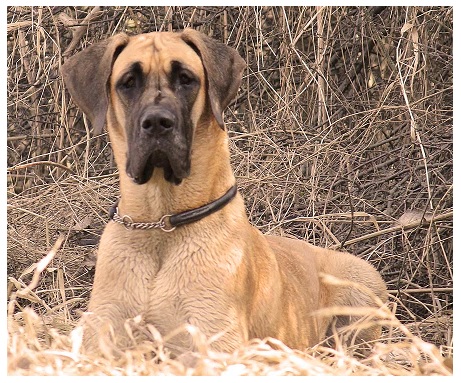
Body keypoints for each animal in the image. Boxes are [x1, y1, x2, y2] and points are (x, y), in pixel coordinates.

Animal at [61, 28, 384, 358]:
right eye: (128, 82)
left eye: (186, 79)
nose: (157, 122)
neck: (160, 223)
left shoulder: (215, 342)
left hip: (361, 276)